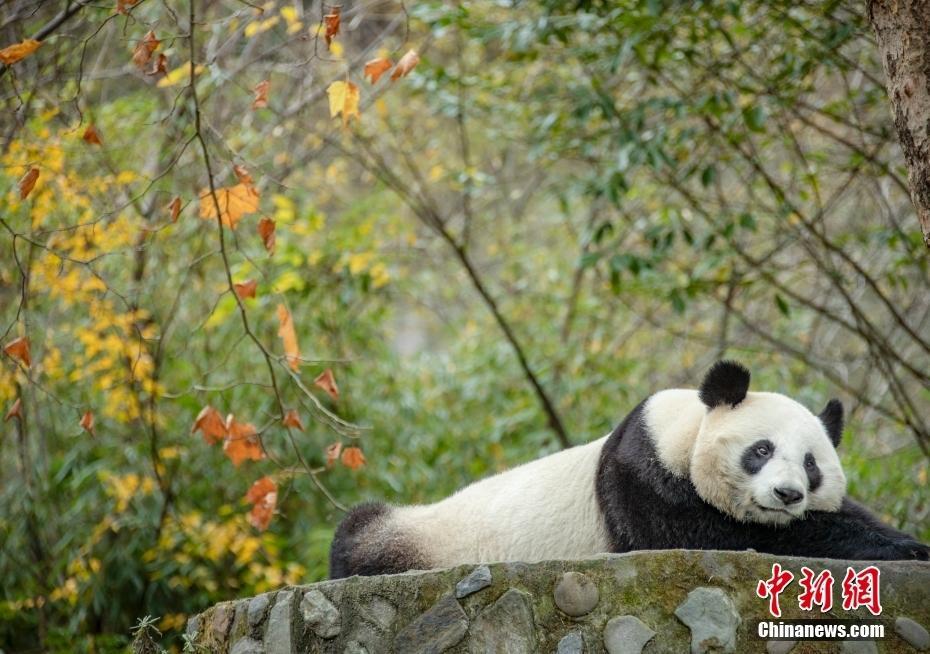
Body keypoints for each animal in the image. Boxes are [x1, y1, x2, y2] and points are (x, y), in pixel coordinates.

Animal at [330, 358, 924, 580]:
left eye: (811, 464)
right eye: (760, 449)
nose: (787, 495)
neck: (682, 431)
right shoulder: (643, 480)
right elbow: (724, 535)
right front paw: (904, 548)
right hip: (418, 533)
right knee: (358, 531)